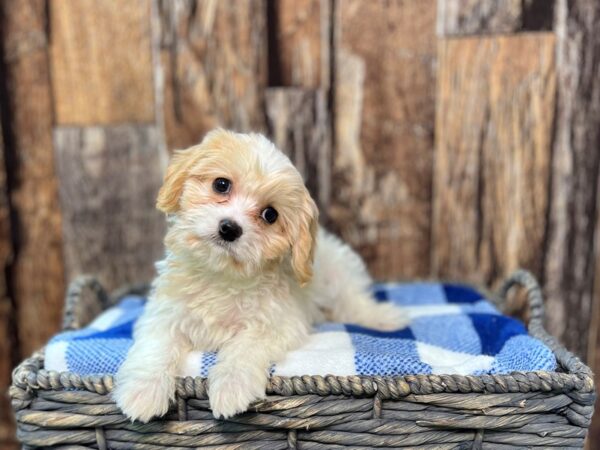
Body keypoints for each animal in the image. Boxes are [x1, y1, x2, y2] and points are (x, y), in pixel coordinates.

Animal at [112, 127, 408, 422]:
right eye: (221, 185)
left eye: (270, 214)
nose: (229, 228)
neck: (221, 276)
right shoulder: (163, 314)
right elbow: (156, 346)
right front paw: (143, 392)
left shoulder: (278, 323)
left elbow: (246, 346)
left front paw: (231, 387)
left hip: (340, 276)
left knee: (353, 303)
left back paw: (382, 317)